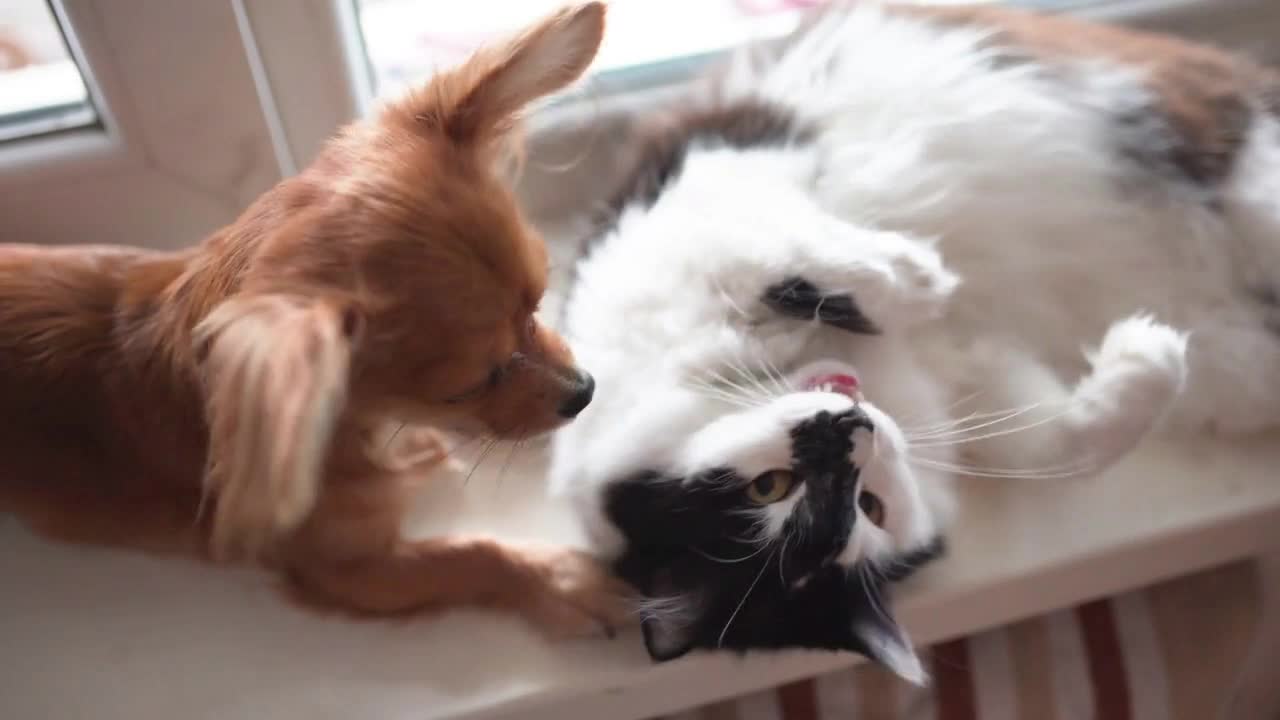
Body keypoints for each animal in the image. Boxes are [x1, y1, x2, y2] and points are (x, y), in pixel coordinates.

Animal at [0, 1, 627, 632]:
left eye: (537, 306)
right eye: (468, 385)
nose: (585, 390)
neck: (371, 430)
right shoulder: (352, 573)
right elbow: (472, 552)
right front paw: (562, 579)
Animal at [547, 0, 1280, 691]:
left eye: (767, 487)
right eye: (863, 507)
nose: (846, 433)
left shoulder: (696, 189)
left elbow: (768, 256)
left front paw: (914, 276)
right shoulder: (984, 387)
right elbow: (1070, 442)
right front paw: (1148, 353)